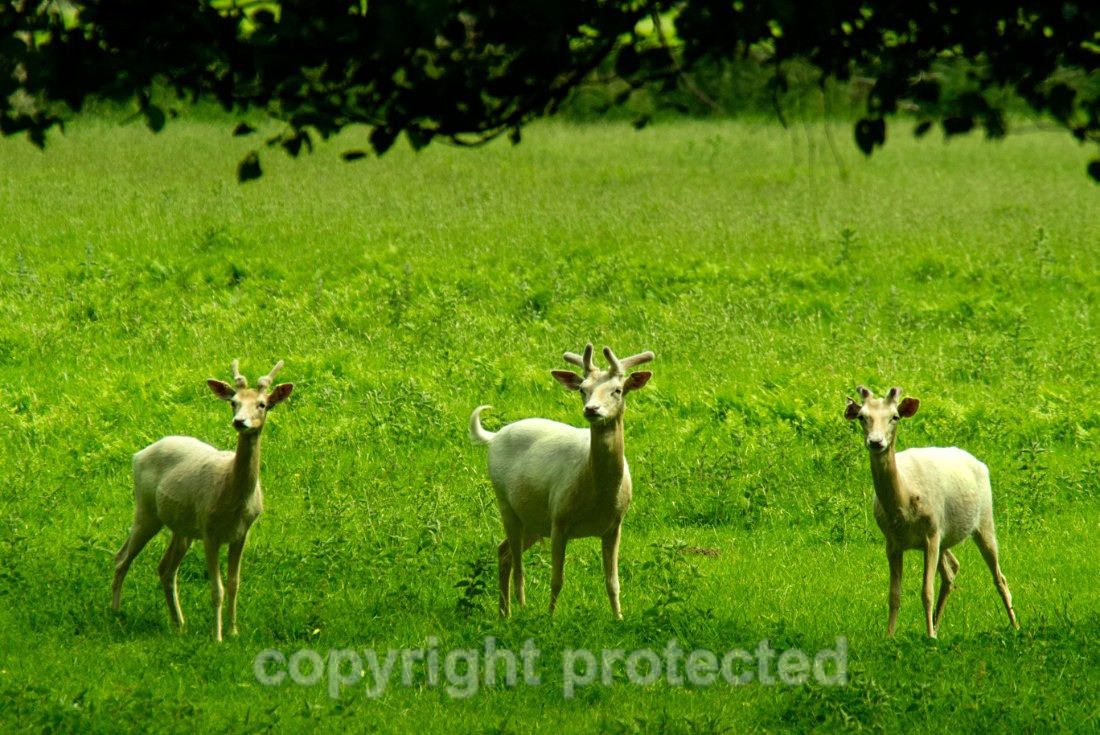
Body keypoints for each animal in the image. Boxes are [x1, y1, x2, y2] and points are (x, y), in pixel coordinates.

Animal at [111, 359, 293, 641]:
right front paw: (216, 637)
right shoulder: (209, 531)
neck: (234, 498)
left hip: (182, 527)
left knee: (165, 568)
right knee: (122, 557)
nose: (240, 422)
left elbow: (234, 583)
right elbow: (216, 588)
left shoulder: (242, 532)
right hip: (146, 508)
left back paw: (179, 623)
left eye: (262, 404)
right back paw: (116, 613)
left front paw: (233, 631)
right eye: (234, 402)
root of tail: (137, 455)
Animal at [469, 343, 653, 619]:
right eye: (583, 389)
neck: (599, 496)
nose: (592, 409)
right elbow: (557, 578)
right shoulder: (560, 518)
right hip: (505, 502)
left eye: (618, 390)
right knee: (517, 564)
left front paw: (619, 618)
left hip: (534, 520)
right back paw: (518, 610)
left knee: (503, 552)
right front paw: (550, 617)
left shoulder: (615, 524)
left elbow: (613, 581)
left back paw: (504, 614)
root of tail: (494, 436)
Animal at [845, 385, 1018, 638]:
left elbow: (926, 591)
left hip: (984, 517)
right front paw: (890, 635)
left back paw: (1014, 624)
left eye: (894, 416)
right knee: (952, 569)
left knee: (999, 576)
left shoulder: (932, 532)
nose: (876, 442)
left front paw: (929, 637)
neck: (904, 504)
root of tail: (979, 463)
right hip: (946, 535)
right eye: (861, 417)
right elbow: (893, 595)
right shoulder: (892, 542)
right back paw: (936, 623)